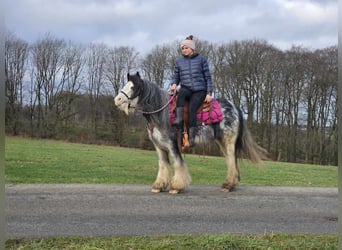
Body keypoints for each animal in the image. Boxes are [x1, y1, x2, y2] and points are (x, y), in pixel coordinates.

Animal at [114, 72, 264, 193]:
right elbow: (163, 165)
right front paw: (159, 186)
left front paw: (176, 186)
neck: (162, 114)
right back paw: (229, 183)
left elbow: (178, 163)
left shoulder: (172, 145)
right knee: (230, 160)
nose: (117, 100)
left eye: (134, 87)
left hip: (229, 141)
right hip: (221, 141)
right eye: (126, 84)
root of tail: (234, 107)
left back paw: (228, 186)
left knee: (232, 161)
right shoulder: (159, 147)